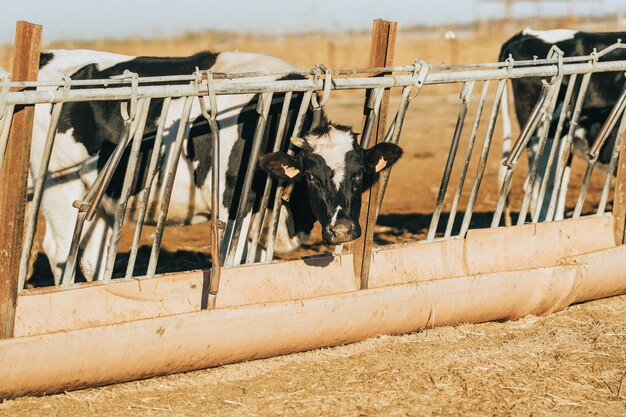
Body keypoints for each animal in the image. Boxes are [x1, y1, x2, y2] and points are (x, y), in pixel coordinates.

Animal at [34, 50, 402, 282]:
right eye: (310, 176)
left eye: (359, 175)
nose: (343, 230)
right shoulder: (233, 204)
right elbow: (232, 261)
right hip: (60, 187)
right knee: (60, 250)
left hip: (105, 198)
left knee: (92, 257)